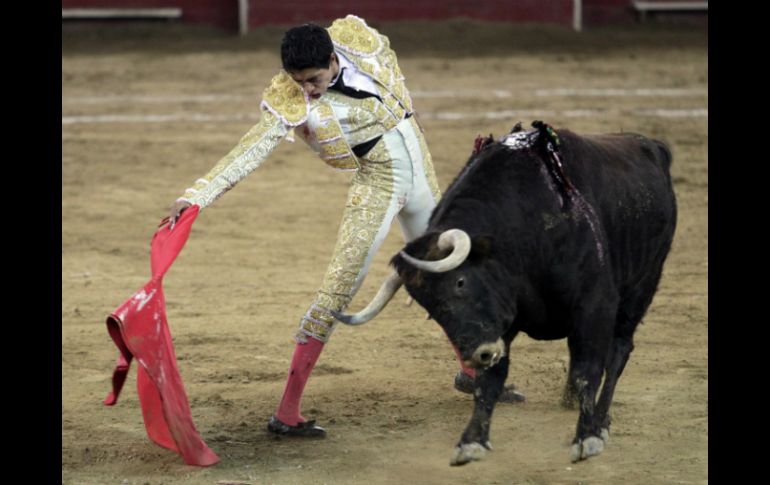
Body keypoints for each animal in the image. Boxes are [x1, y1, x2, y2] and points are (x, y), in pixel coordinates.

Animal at [330, 121, 672, 466]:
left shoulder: (594, 304)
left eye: (460, 282)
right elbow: (491, 382)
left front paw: (587, 437)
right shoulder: (499, 325)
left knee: (617, 354)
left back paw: (601, 421)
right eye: (430, 309)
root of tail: (652, 146)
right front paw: (471, 442)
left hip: (642, 286)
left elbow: (588, 371)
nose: (478, 354)